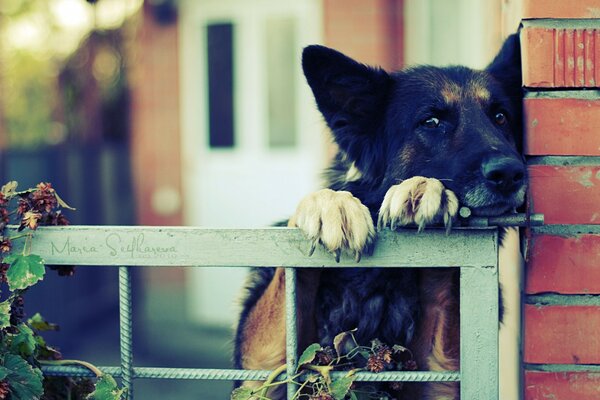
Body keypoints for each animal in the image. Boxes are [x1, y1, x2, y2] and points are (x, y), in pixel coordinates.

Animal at [234, 34, 524, 400]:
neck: (379, 281)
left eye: (501, 117)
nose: (511, 173)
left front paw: (425, 191)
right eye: (431, 122)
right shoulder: (260, 371)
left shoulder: (443, 376)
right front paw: (329, 205)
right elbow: (291, 283)